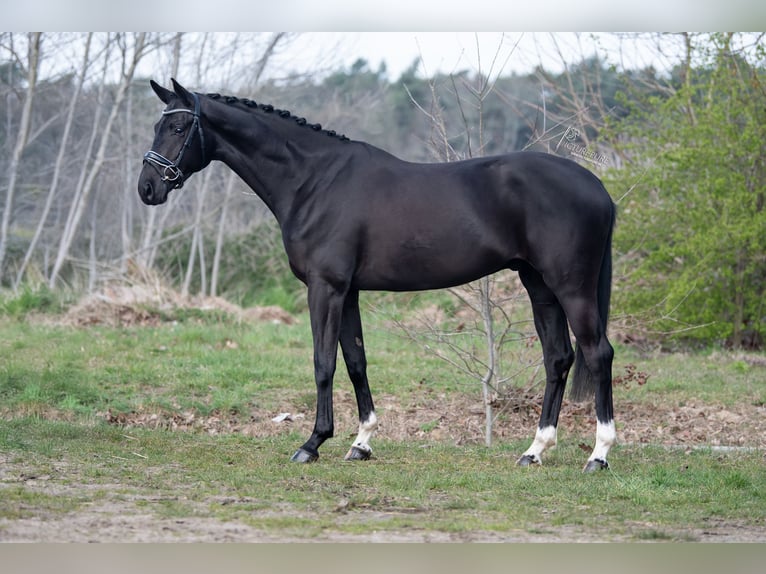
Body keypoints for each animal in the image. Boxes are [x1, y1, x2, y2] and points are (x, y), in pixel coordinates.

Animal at [138, 79, 617, 472]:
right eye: (159, 125)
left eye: (178, 127)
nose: (147, 188)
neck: (314, 181)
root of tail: (597, 187)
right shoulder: (347, 291)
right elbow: (355, 361)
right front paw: (361, 442)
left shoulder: (325, 288)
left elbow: (323, 363)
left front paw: (312, 443)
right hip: (538, 285)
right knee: (558, 358)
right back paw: (534, 450)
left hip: (571, 287)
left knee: (598, 353)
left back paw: (598, 454)